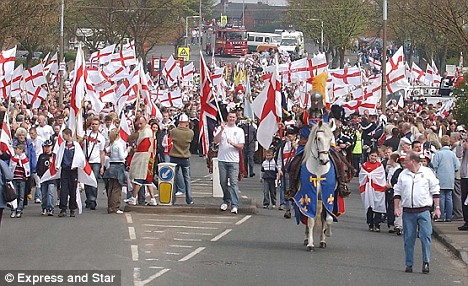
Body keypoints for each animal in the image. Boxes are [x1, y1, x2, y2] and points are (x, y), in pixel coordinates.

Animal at [292, 119, 336, 251]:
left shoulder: (328, 196)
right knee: (307, 217)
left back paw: (322, 239)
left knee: (322, 218)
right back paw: (307, 238)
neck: (319, 170)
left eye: (331, 139)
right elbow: (310, 220)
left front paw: (327, 234)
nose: (324, 160)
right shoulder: (309, 196)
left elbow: (328, 219)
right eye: (318, 138)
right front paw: (310, 244)